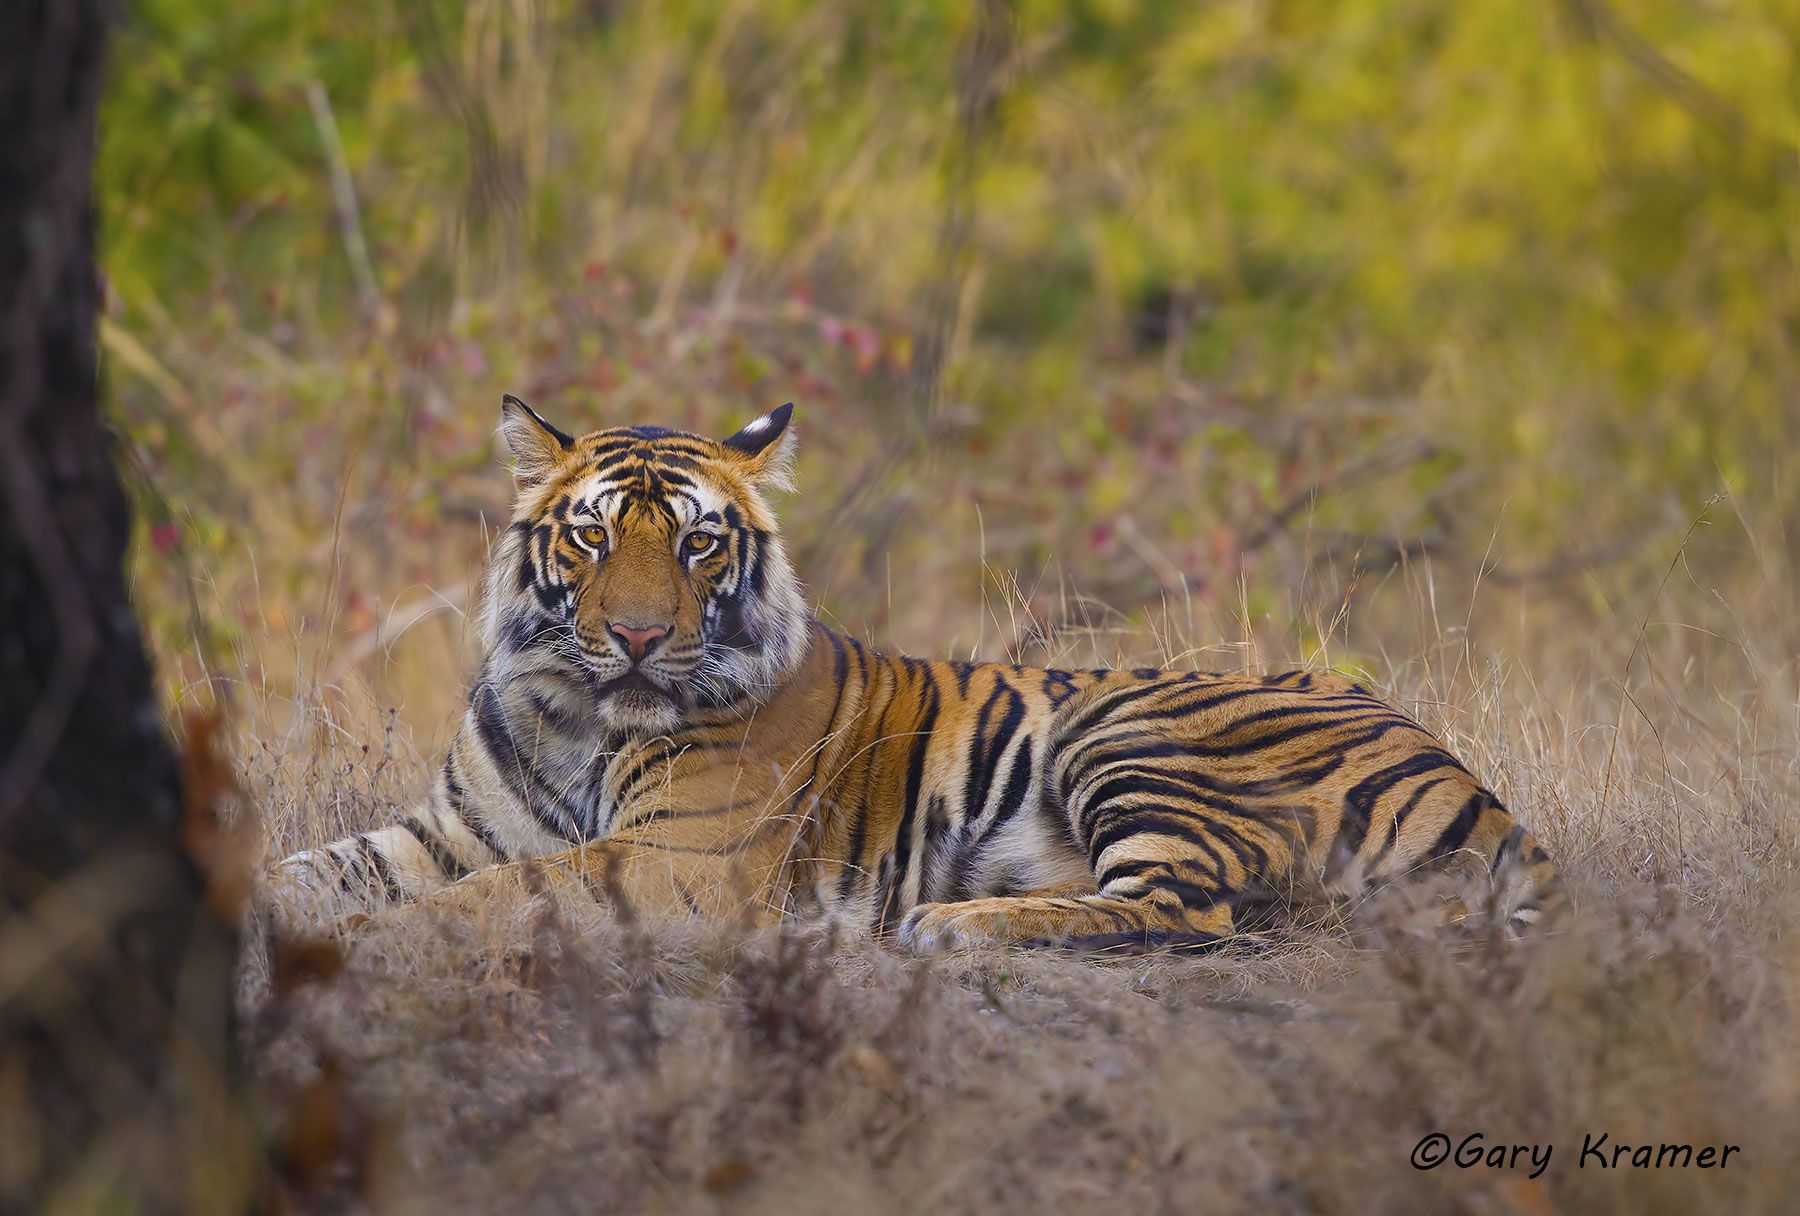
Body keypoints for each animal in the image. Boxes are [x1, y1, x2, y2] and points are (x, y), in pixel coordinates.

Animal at [272, 396, 1560, 951]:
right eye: (591, 539)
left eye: (696, 544)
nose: (636, 637)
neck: (584, 715)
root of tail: (1466, 774)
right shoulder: (449, 827)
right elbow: (319, 866)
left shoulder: (681, 862)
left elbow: (503, 892)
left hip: (1126, 724)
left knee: (1188, 907)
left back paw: (950, 921)